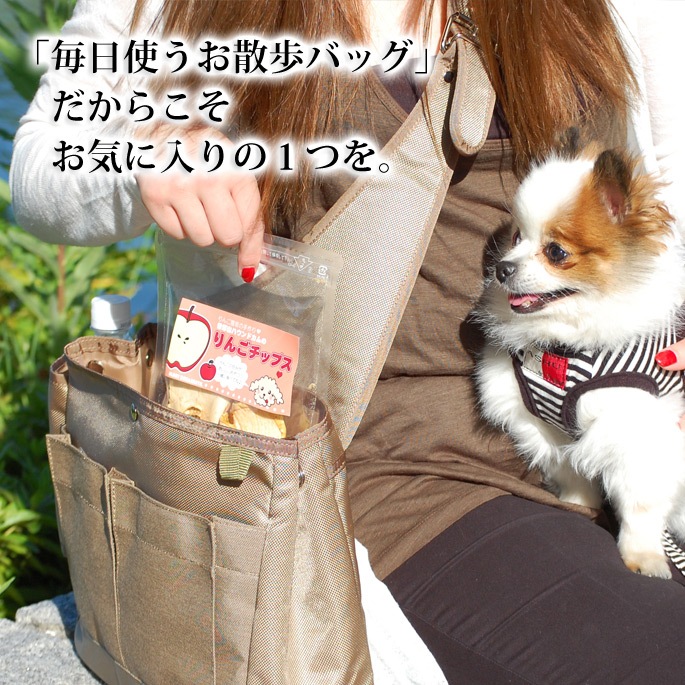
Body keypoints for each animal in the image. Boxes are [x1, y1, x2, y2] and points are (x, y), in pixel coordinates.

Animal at [474, 146, 685, 578]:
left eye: (556, 252)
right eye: (517, 237)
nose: (503, 267)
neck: (566, 347)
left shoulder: (640, 431)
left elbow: (641, 504)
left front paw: (644, 556)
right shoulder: (547, 428)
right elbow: (570, 471)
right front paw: (577, 505)